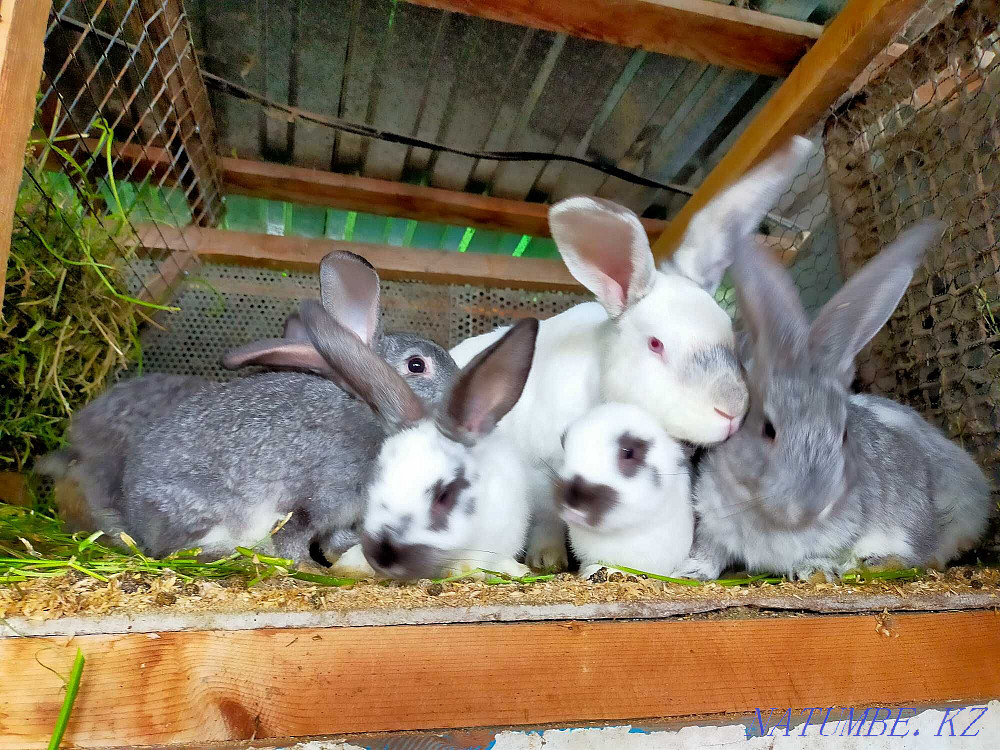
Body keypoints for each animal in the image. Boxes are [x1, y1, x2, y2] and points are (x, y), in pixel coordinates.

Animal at [117, 250, 458, 563]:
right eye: (416, 365)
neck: (367, 410)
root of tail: (138, 521)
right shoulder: (315, 501)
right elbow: (294, 540)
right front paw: (312, 568)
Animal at [678, 220, 993, 582]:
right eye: (768, 430)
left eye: (843, 435)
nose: (809, 506)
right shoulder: (712, 521)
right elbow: (709, 553)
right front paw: (691, 571)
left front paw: (815, 571)